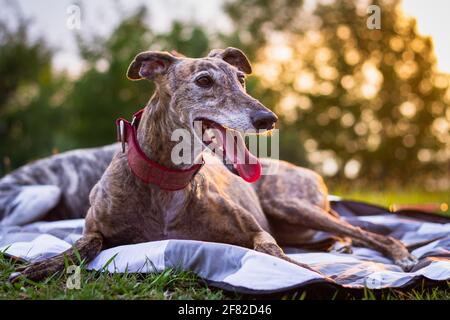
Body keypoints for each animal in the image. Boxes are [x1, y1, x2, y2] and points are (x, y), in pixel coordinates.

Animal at [5, 47, 416, 280]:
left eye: (241, 78)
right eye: (204, 81)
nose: (269, 119)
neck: (167, 179)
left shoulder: (256, 231)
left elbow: (273, 253)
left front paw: (305, 270)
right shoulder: (95, 227)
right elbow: (82, 246)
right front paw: (43, 265)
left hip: (290, 204)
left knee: (372, 232)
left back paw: (399, 255)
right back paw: (339, 247)